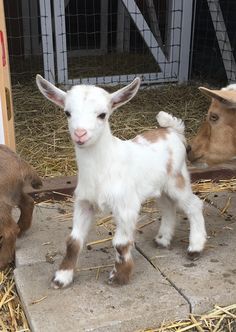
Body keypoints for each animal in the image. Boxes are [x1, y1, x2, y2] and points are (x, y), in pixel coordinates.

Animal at [35, 76, 206, 288]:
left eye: (102, 114)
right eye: (68, 112)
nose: (80, 134)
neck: (102, 167)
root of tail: (172, 131)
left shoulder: (126, 206)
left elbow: (120, 243)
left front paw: (119, 277)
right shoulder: (84, 203)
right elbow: (74, 241)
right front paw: (62, 277)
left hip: (177, 180)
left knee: (193, 205)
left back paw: (195, 247)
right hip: (160, 186)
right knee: (168, 206)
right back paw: (162, 239)